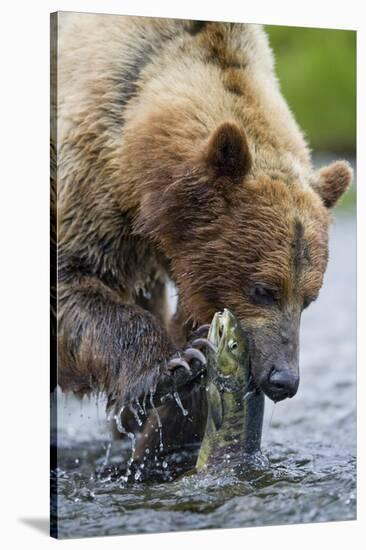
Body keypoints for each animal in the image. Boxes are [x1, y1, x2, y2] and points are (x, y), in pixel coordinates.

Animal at [51, 14, 352, 462]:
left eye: (309, 299)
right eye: (264, 289)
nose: (283, 379)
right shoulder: (90, 175)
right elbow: (75, 278)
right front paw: (173, 367)